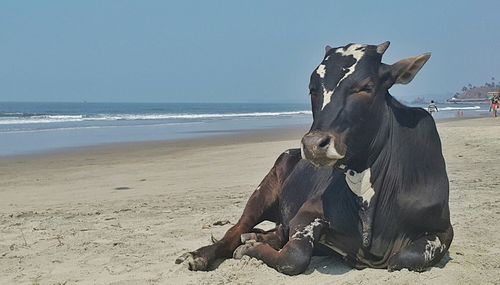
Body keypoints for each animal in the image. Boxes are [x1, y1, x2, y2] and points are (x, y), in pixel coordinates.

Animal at [176, 41, 454, 274]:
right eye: (312, 89)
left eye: (365, 87)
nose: (313, 145)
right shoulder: (307, 213)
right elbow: (294, 257)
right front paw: (250, 249)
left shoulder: (443, 231)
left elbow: (403, 259)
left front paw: (255, 244)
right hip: (262, 192)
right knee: (236, 229)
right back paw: (203, 254)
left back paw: (259, 237)